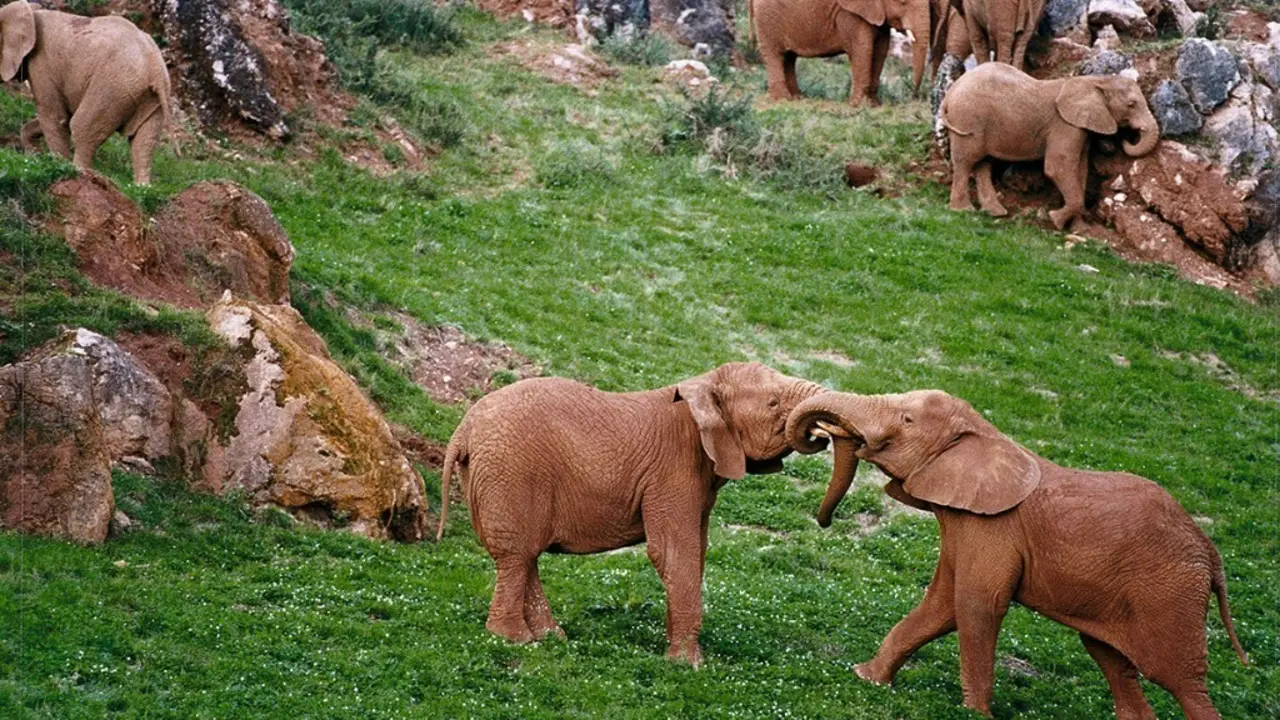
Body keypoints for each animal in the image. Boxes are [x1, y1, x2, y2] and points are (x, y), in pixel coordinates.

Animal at [0, 1, 172, 184]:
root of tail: (154, 67)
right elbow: (59, 117)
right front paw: (33, 156)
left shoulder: (41, 64)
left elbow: (55, 117)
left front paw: (57, 164)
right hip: (150, 96)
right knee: (143, 140)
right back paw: (141, 187)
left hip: (112, 87)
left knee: (82, 126)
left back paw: (78, 173)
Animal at [435, 362, 823, 667]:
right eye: (773, 403)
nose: (820, 433)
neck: (702, 387)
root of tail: (462, 431)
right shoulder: (672, 472)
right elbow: (672, 553)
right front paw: (688, 665)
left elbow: (695, 551)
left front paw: (679, 652)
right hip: (511, 474)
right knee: (517, 556)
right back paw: (517, 640)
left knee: (524, 554)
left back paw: (550, 636)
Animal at [750, 0, 933, 106]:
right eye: (903, 2)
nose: (913, 96)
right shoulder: (850, 13)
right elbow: (862, 49)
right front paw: (858, 105)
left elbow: (880, 49)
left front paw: (874, 105)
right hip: (768, 18)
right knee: (775, 55)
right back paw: (782, 100)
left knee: (789, 58)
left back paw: (798, 98)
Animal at [786, 389, 1249, 719]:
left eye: (906, 419)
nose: (824, 521)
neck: (985, 432)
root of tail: (1211, 553)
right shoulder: (965, 524)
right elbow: (941, 605)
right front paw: (867, 678)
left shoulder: (994, 529)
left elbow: (976, 605)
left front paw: (975, 714)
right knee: (1113, 660)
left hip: (1170, 594)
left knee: (1181, 680)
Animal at [940, 62, 1159, 230]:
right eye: (1131, 104)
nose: (1126, 140)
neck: (1095, 81)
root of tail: (949, 93)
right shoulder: (1065, 125)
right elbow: (1057, 167)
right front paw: (1055, 220)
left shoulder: (1081, 127)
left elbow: (1080, 170)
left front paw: (1079, 229)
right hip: (968, 118)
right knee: (966, 161)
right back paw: (964, 210)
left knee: (983, 164)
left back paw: (996, 212)